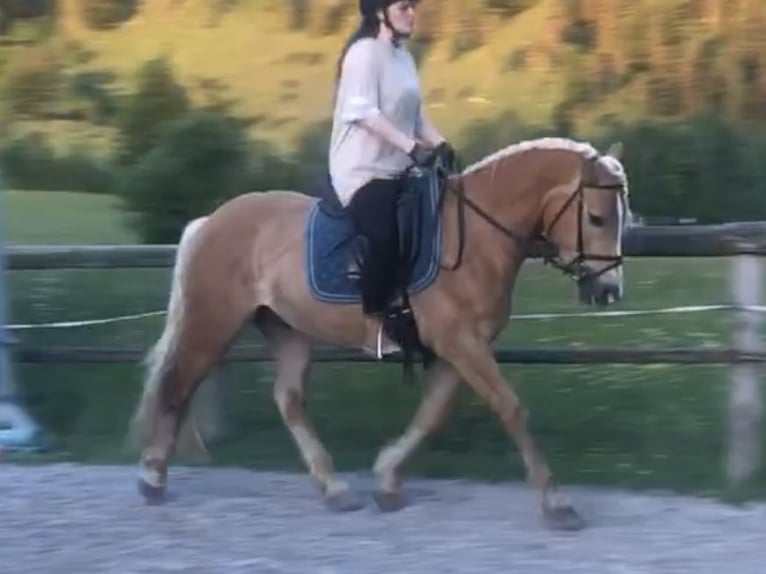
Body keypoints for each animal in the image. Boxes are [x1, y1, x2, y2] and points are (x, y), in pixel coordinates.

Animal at [129, 136, 630, 532]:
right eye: (597, 218)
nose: (608, 290)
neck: (474, 239)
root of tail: (210, 221)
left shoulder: (458, 349)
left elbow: (432, 415)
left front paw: (388, 479)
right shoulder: (461, 344)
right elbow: (511, 409)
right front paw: (558, 504)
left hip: (287, 330)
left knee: (287, 399)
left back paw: (334, 489)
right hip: (214, 322)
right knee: (177, 386)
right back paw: (153, 478)